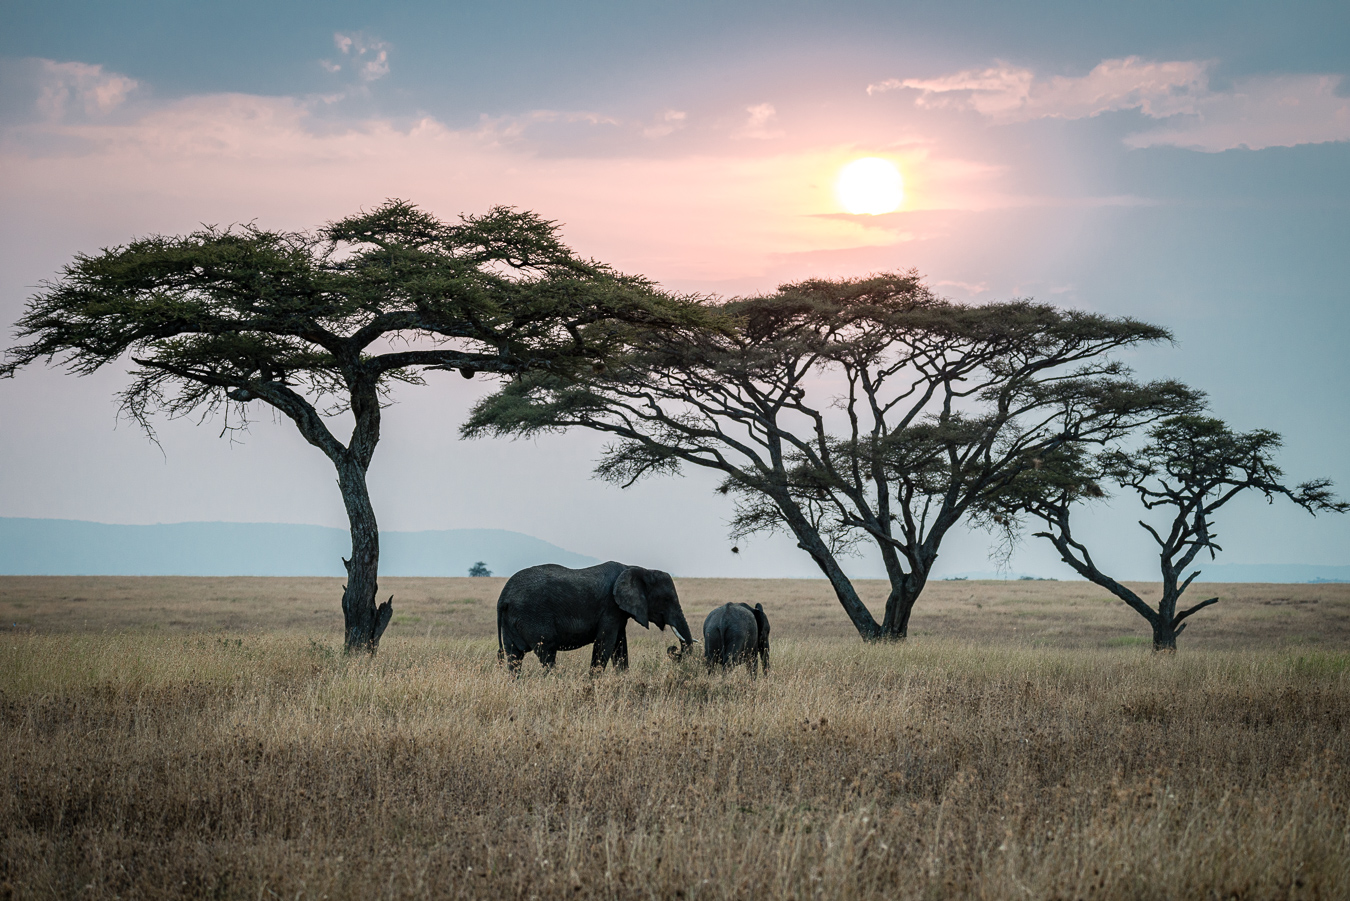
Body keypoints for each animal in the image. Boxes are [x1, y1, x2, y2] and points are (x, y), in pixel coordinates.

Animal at [496, 559, 696, 672]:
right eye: (667, 599)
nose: (674, 650)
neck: (636, 568)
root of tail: (503, 598)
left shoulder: (618, 612)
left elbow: (620, 646)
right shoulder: (610, 607)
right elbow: (604, 644)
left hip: (512, 622)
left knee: (514, 658)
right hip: (533, 618)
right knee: (547, 653)